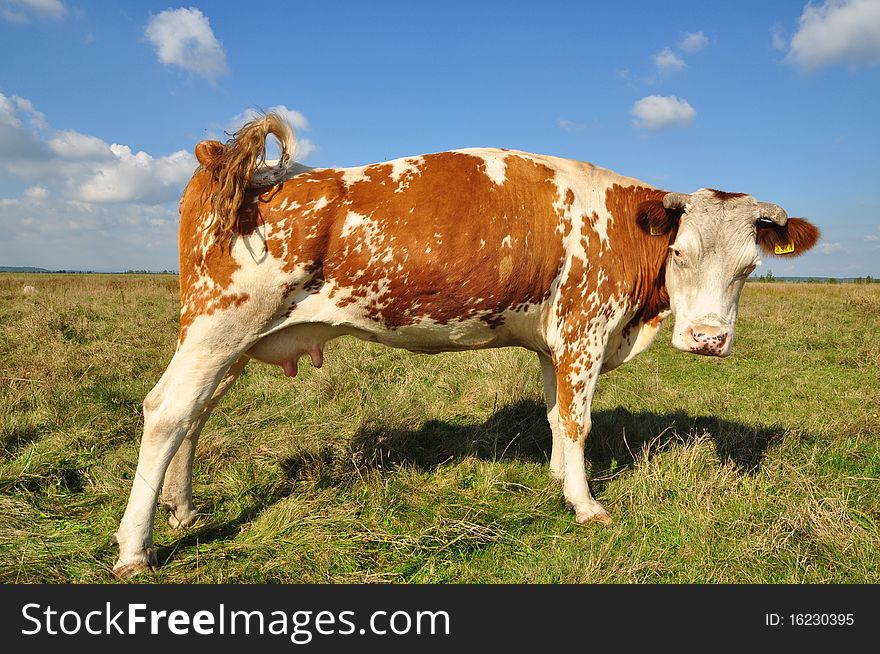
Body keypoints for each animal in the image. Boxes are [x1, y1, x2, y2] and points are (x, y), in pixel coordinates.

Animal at [110, 114, 820, 580]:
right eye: (680, 252)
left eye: (749, 267)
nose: (708, 339)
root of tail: (234, 163)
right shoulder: (584, 329)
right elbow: (579, 420)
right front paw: (586, 504)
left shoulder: (552, 342)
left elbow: (554, 415)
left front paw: (557, 479)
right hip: (219, 325)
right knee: (167, 411)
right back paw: (135, 549)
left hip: (228, 338)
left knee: (196, 416)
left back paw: (182, 510)